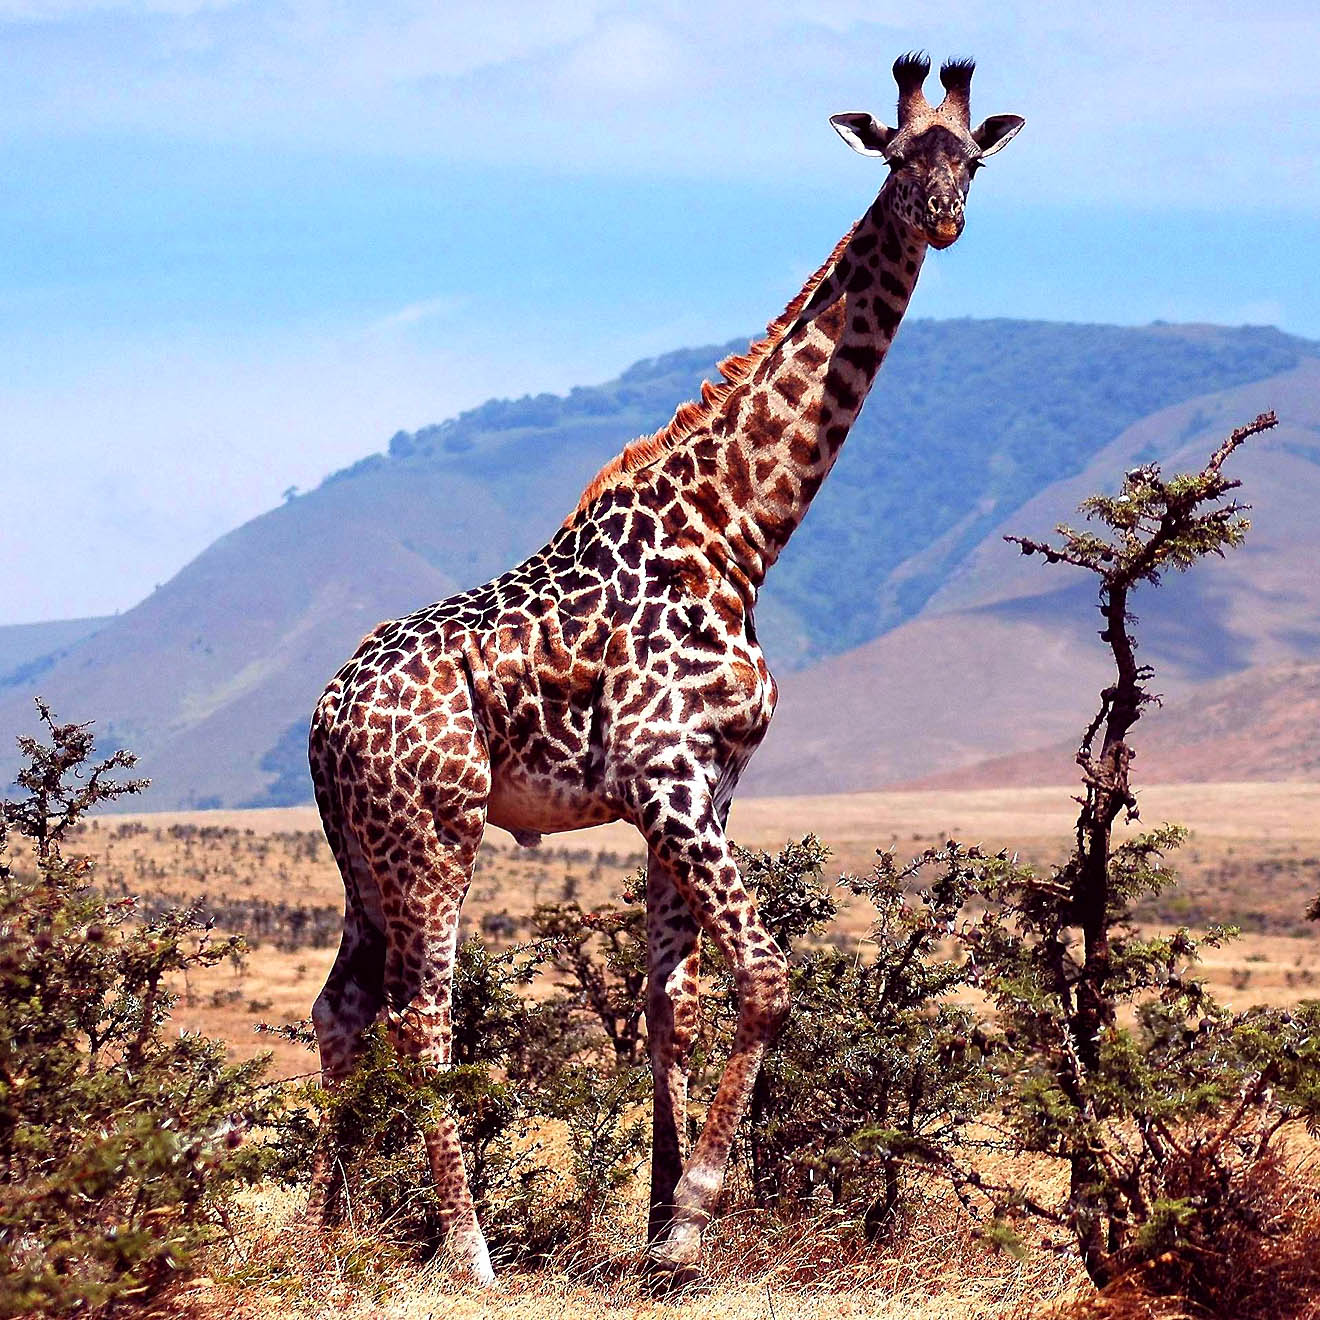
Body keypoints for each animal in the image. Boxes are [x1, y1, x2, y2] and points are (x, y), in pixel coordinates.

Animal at [307, 53, 1023, 1284]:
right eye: (895, 156)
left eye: (970, 158)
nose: (942, 216)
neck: (736, 536)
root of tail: (321, 714)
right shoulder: (669, 780)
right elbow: (769, 977)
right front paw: (691, 1220)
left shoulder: (699, 794)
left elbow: (670, 1006)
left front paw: (655, 1228)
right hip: (434, 835)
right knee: (422, 1016)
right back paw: (466, 1250)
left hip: (363, 850)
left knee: (341, 1011)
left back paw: (326, 1236)